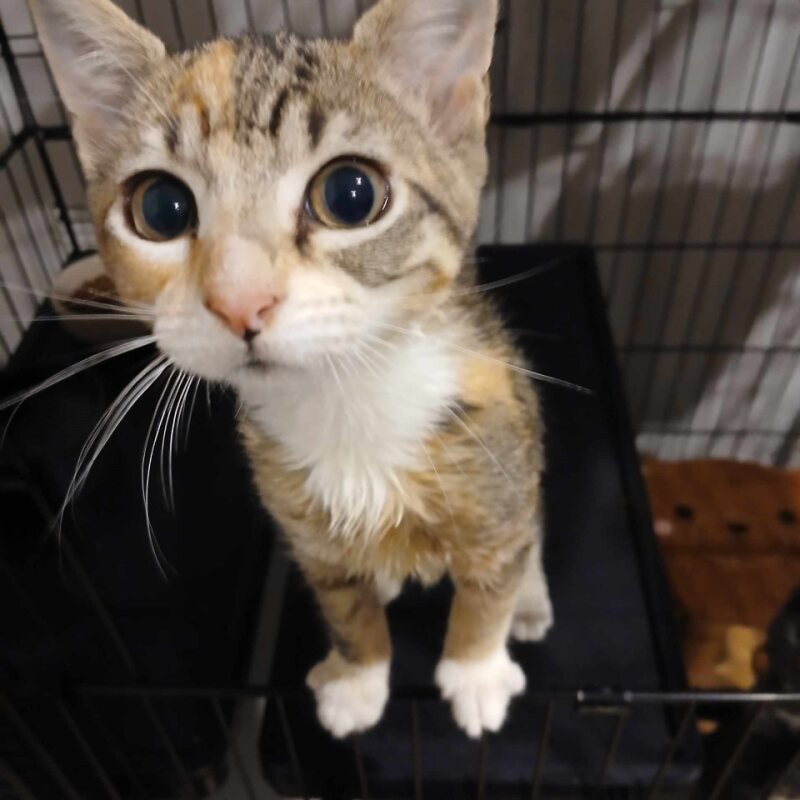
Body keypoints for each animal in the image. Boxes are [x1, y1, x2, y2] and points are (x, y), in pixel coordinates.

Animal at [29, 0, 553, 739]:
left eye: (350, 194)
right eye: (160, 208)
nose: (239, 300)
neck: (349, 399)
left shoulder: (498, 441)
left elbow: (493, 576)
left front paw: (476, 670)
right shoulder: (298, 517)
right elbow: (342, 603)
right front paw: (358, 677)